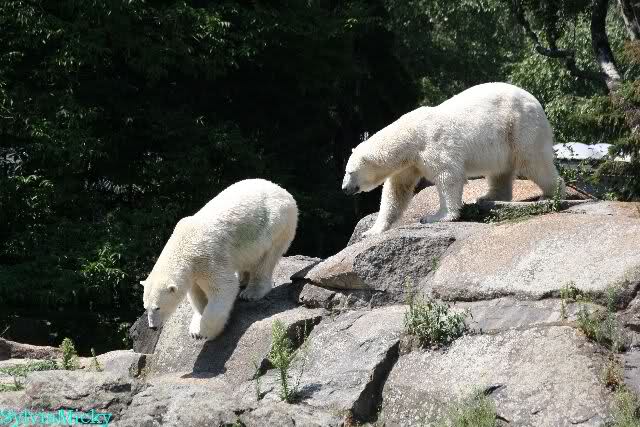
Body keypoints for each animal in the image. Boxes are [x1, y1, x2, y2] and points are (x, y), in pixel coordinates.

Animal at [141, 178, 298, 341]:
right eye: (146, 307)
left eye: (158, 307)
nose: (152, 327)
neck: (184, 244)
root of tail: (283, 191)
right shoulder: (194, 272)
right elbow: (197, 295)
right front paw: (195, 327)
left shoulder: (208, 257)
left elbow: (223, 287)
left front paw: (205, 332)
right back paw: (242, 279)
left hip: (277, 224)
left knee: (265, 260)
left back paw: (251, 293)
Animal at [341, 82, 565, 236]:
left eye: (350, 172)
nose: (344, 188)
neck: (411, 136)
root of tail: (536, 103)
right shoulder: (409, 163)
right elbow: (396, 191)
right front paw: (372, 230)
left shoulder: (433, 144)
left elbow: (448, 176)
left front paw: (436, 217)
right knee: (499, 171)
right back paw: (488, 196)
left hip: (521, 126)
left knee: (533, 161)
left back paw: (552, 193)